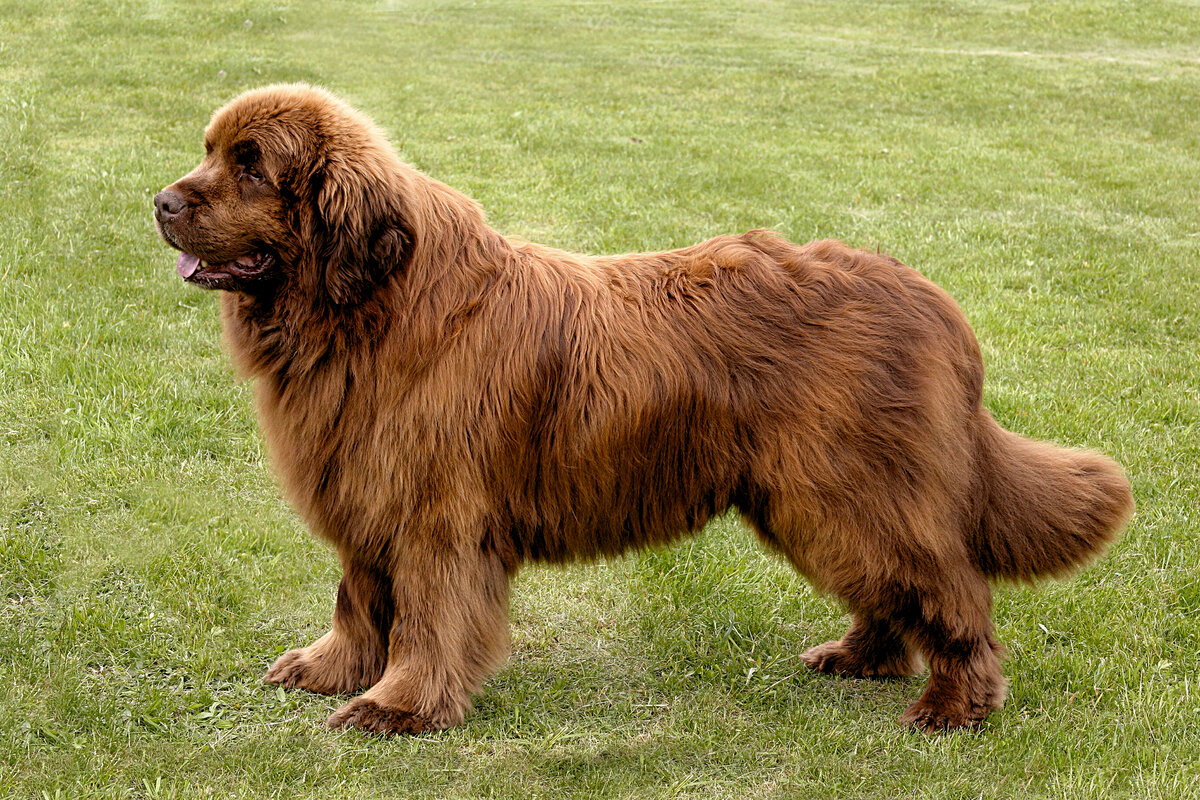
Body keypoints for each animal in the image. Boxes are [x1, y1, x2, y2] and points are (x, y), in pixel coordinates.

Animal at [152, 84, 1132, 734]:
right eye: (211, 150)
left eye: (251, 167)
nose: (159, 201)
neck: (369, 309)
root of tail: (934, 301)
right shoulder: (367, 489)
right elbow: (359, 599)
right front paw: (328, 670)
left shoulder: (435, 513)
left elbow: (426, 616)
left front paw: (398, 706)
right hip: (820, 498)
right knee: (897, 589)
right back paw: (860, 659)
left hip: (846, 490)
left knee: (951, 588)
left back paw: (954, 704)